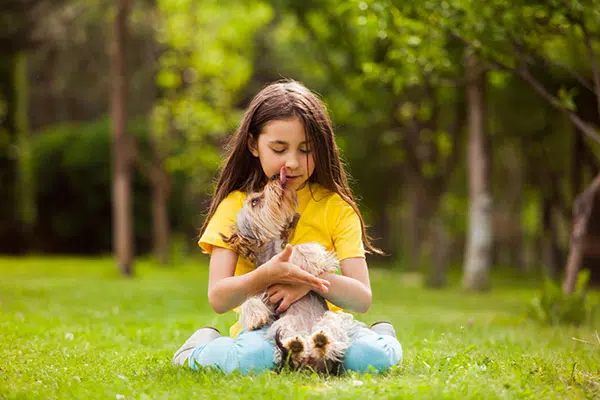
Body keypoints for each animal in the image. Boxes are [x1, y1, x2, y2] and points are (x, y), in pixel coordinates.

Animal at [219, 167, 364, 374]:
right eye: (255, 201)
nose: (273, 177)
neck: (272, 252)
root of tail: (313, 363)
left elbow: (300, 249)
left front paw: (303, 257)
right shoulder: (265, 292)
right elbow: (250, 299)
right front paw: (256, 317)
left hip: (332, 319)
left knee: (330, 338)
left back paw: (320, 341)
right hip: (284, 324)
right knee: (296, 345)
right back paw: (297, 347)